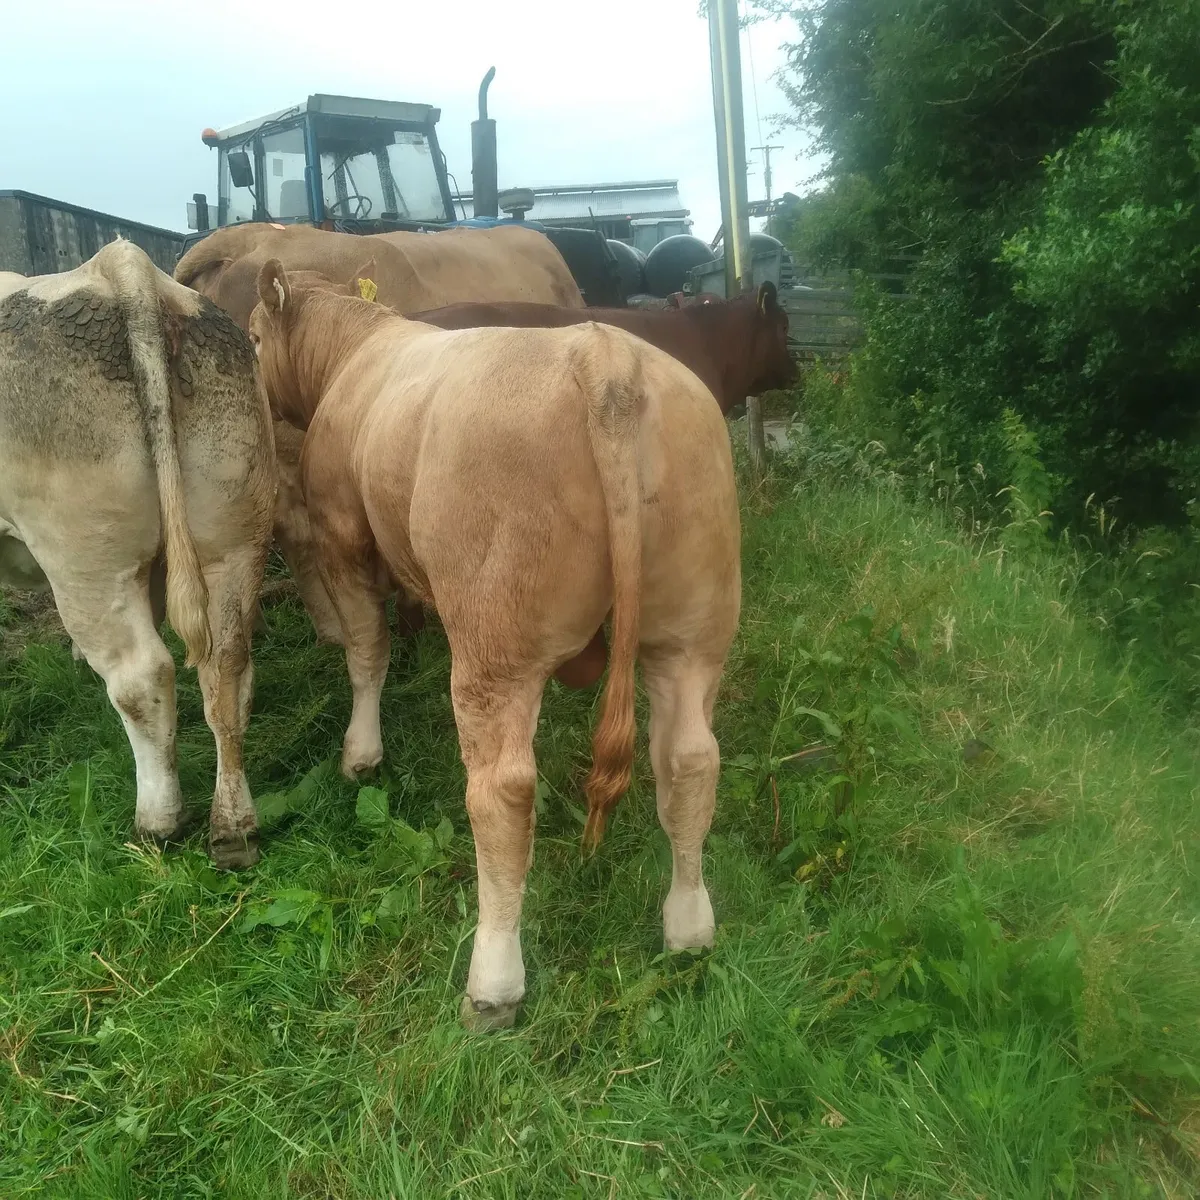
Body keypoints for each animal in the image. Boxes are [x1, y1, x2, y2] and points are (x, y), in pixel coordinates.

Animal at [0, 240, 276, 868]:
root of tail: (119, 268)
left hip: (82, 558)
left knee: (141, 677)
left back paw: (158, 819)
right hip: (232, 539)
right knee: (226, 666)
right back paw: (234, 826)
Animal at [249, 260, 741, 1028]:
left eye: (249, 337)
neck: (356, 354)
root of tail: (605, 357)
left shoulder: (343, 535)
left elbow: (366, 649)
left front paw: (361, 752)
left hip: (495, 643)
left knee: (503, 793)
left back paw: (494, 980)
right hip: (693, 626)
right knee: (690, 761)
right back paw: (688, 927)